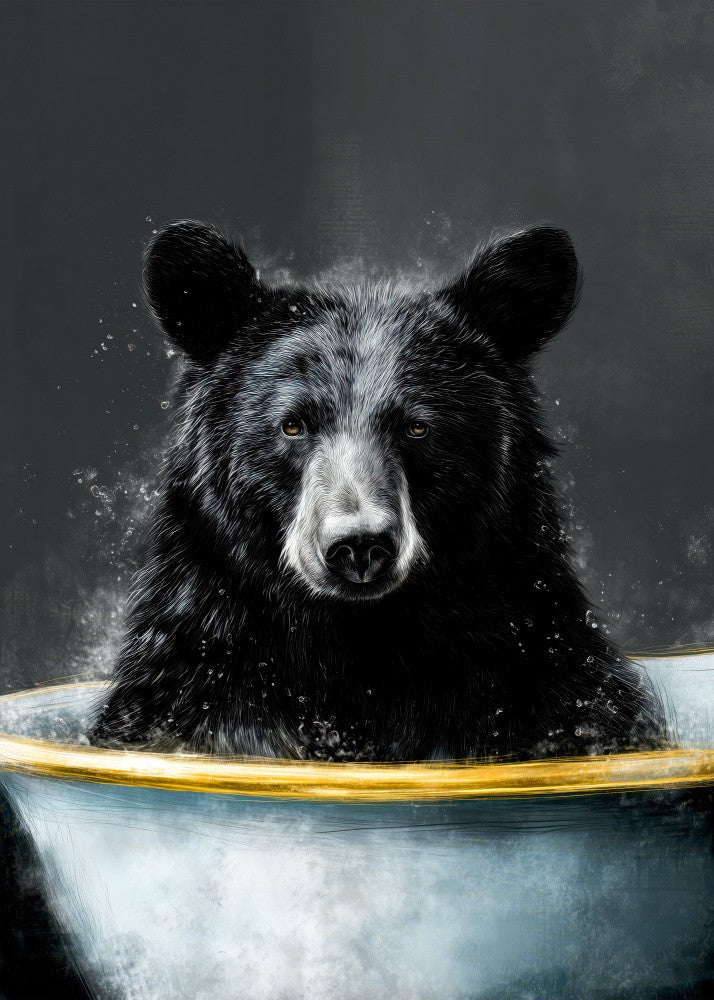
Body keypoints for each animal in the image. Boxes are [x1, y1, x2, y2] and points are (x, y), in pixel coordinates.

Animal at [90, 220, 664, 760]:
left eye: (417, 427)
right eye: (293, 425)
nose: (360, 546)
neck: (361, 646)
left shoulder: (535, 671)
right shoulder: (198, 674)